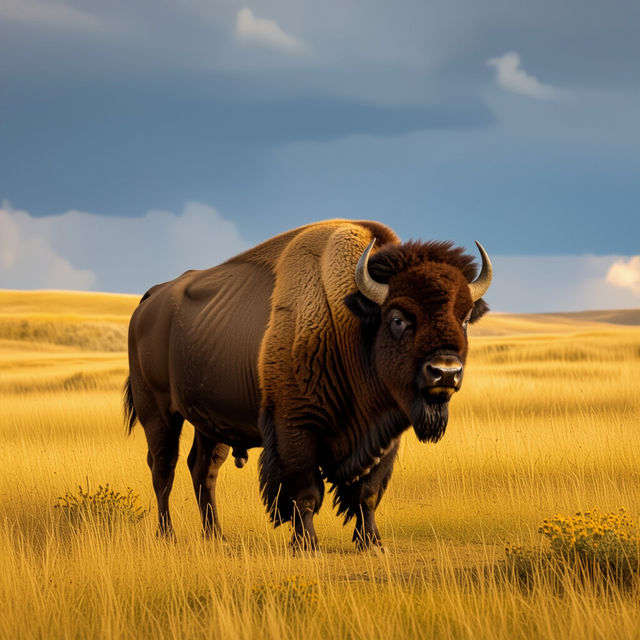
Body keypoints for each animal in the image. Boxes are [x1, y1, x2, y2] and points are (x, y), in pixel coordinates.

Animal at [124, 219, 491, 549]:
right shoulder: (295, 428)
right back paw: (167, 536)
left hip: (209, 424)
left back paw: (216, 536)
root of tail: (149, 300)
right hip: (158, 413)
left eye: (463, 318)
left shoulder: (385, 436)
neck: (351, 325)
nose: (445, 372)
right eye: (398, 318)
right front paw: (306, 544)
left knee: (203, 469)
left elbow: (368, 492)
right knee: (163, 468)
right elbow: (306, 492)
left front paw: (372, 543)